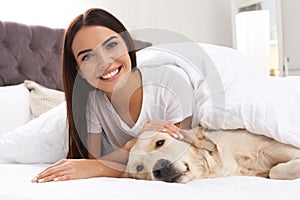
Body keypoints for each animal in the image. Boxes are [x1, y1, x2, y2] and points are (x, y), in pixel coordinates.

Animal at [123, 126, 300, 183]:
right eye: (139, 168)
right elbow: (274, 171)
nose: (160, 169)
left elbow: (275, 170)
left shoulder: (271, 146)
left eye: (159, 142)